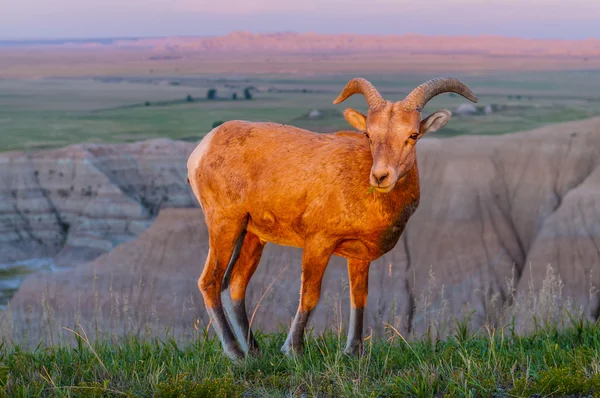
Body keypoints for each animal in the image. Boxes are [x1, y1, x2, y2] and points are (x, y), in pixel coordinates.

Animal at [188, 76, 478, 360]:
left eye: (413, 135)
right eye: (368, 134)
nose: (380, 177)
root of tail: (202, 149)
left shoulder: (359, 257)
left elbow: (359, 297)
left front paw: (354, 352)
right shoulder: (319, 244)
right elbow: (309, 295)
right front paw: (293, 351)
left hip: (251, 236)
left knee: (235, 285)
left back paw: (254, 351)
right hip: (225, 225)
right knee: (210, 282)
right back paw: (236, 354)